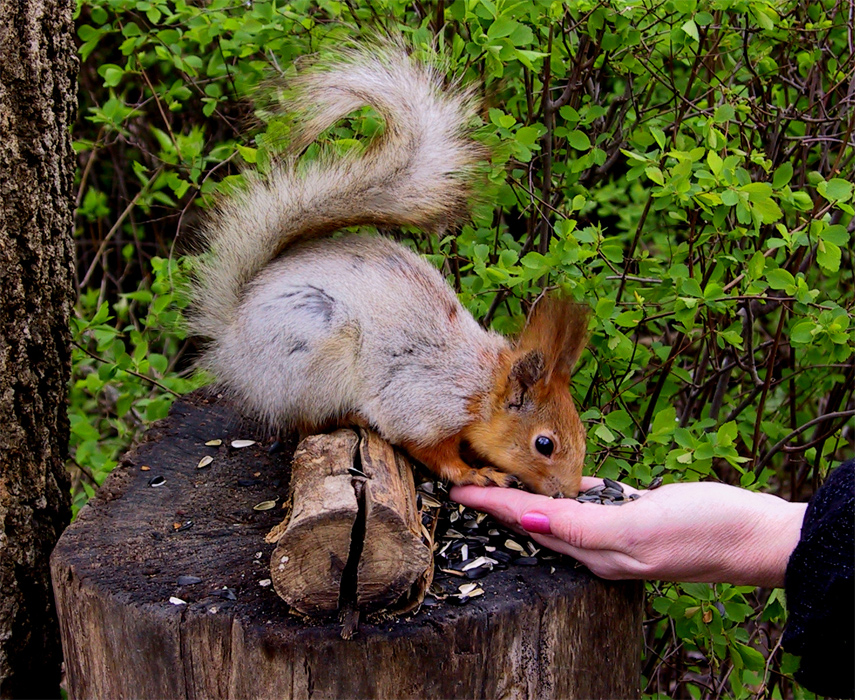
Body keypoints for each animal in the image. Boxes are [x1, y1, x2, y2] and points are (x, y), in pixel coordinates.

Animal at [188, 43, 592, 498]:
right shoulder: (420, 405)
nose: (568, 493)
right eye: (544, 444)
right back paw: (352, 418)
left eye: (581, 434)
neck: (479, 386)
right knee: (307, 422)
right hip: (313, 357)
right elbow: (432, 451)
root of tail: (232, 336)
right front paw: (475, 473)